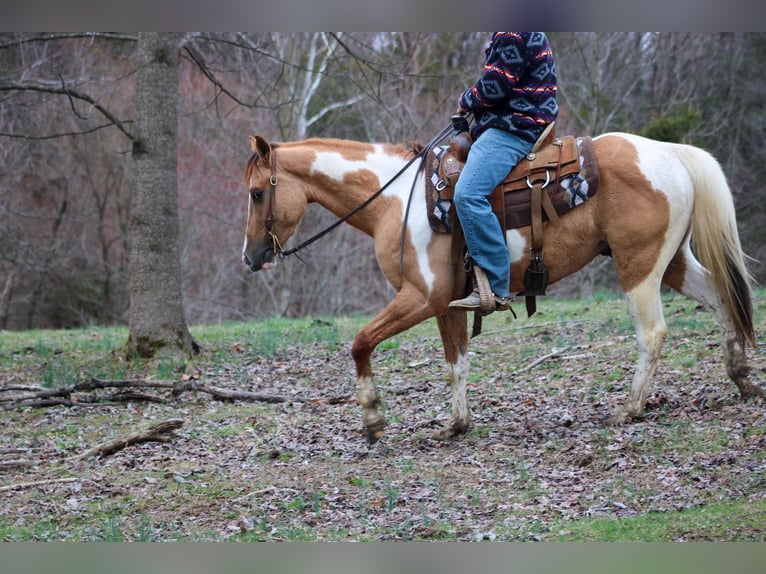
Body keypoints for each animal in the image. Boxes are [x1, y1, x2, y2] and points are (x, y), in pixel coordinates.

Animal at [243, 132, 760, 446]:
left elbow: (361, 341)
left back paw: (628, 410)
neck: (394, 200)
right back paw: (741, 376)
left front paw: (373, 418)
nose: (250, 257)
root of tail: (671, 152)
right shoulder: (447, 303)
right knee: (720, 298)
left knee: (652, 334)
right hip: (673, 262)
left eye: (256, 192)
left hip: (640, 267)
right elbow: (456, 362)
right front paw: (456, 425)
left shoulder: (421, 297)